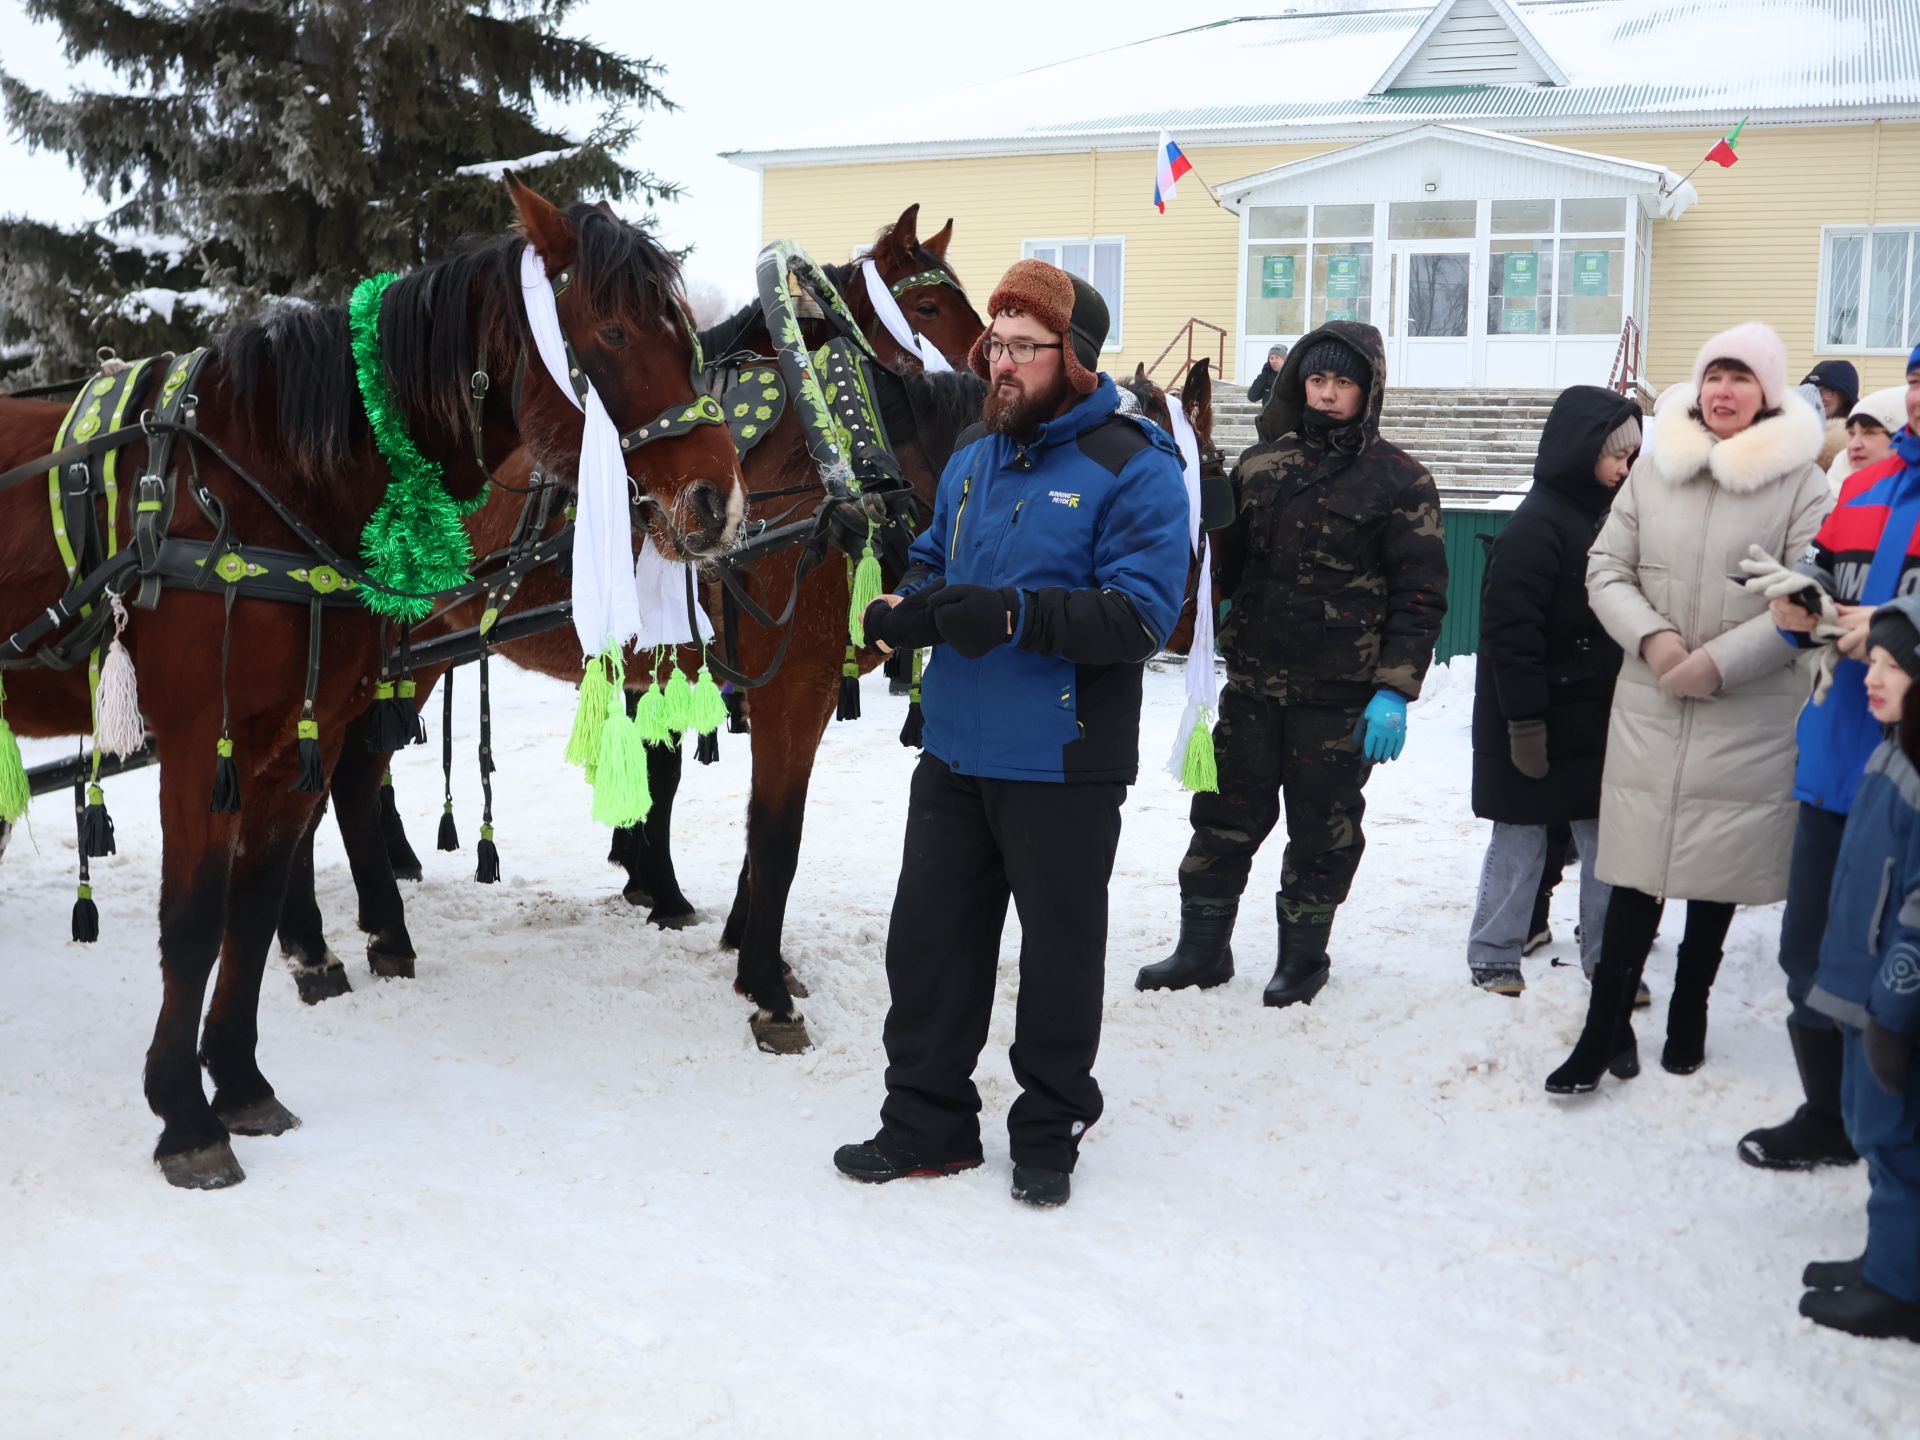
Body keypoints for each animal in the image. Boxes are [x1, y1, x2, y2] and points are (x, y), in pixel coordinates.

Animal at [0, 180, 744, 1190]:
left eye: (685, 332)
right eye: (615, 332)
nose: (719, 502)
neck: (266, 482)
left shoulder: (287, 745)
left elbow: (252, 909)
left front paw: (240, 1082)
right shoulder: (200, 745)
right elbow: (192, 923)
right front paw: (184, 1116)